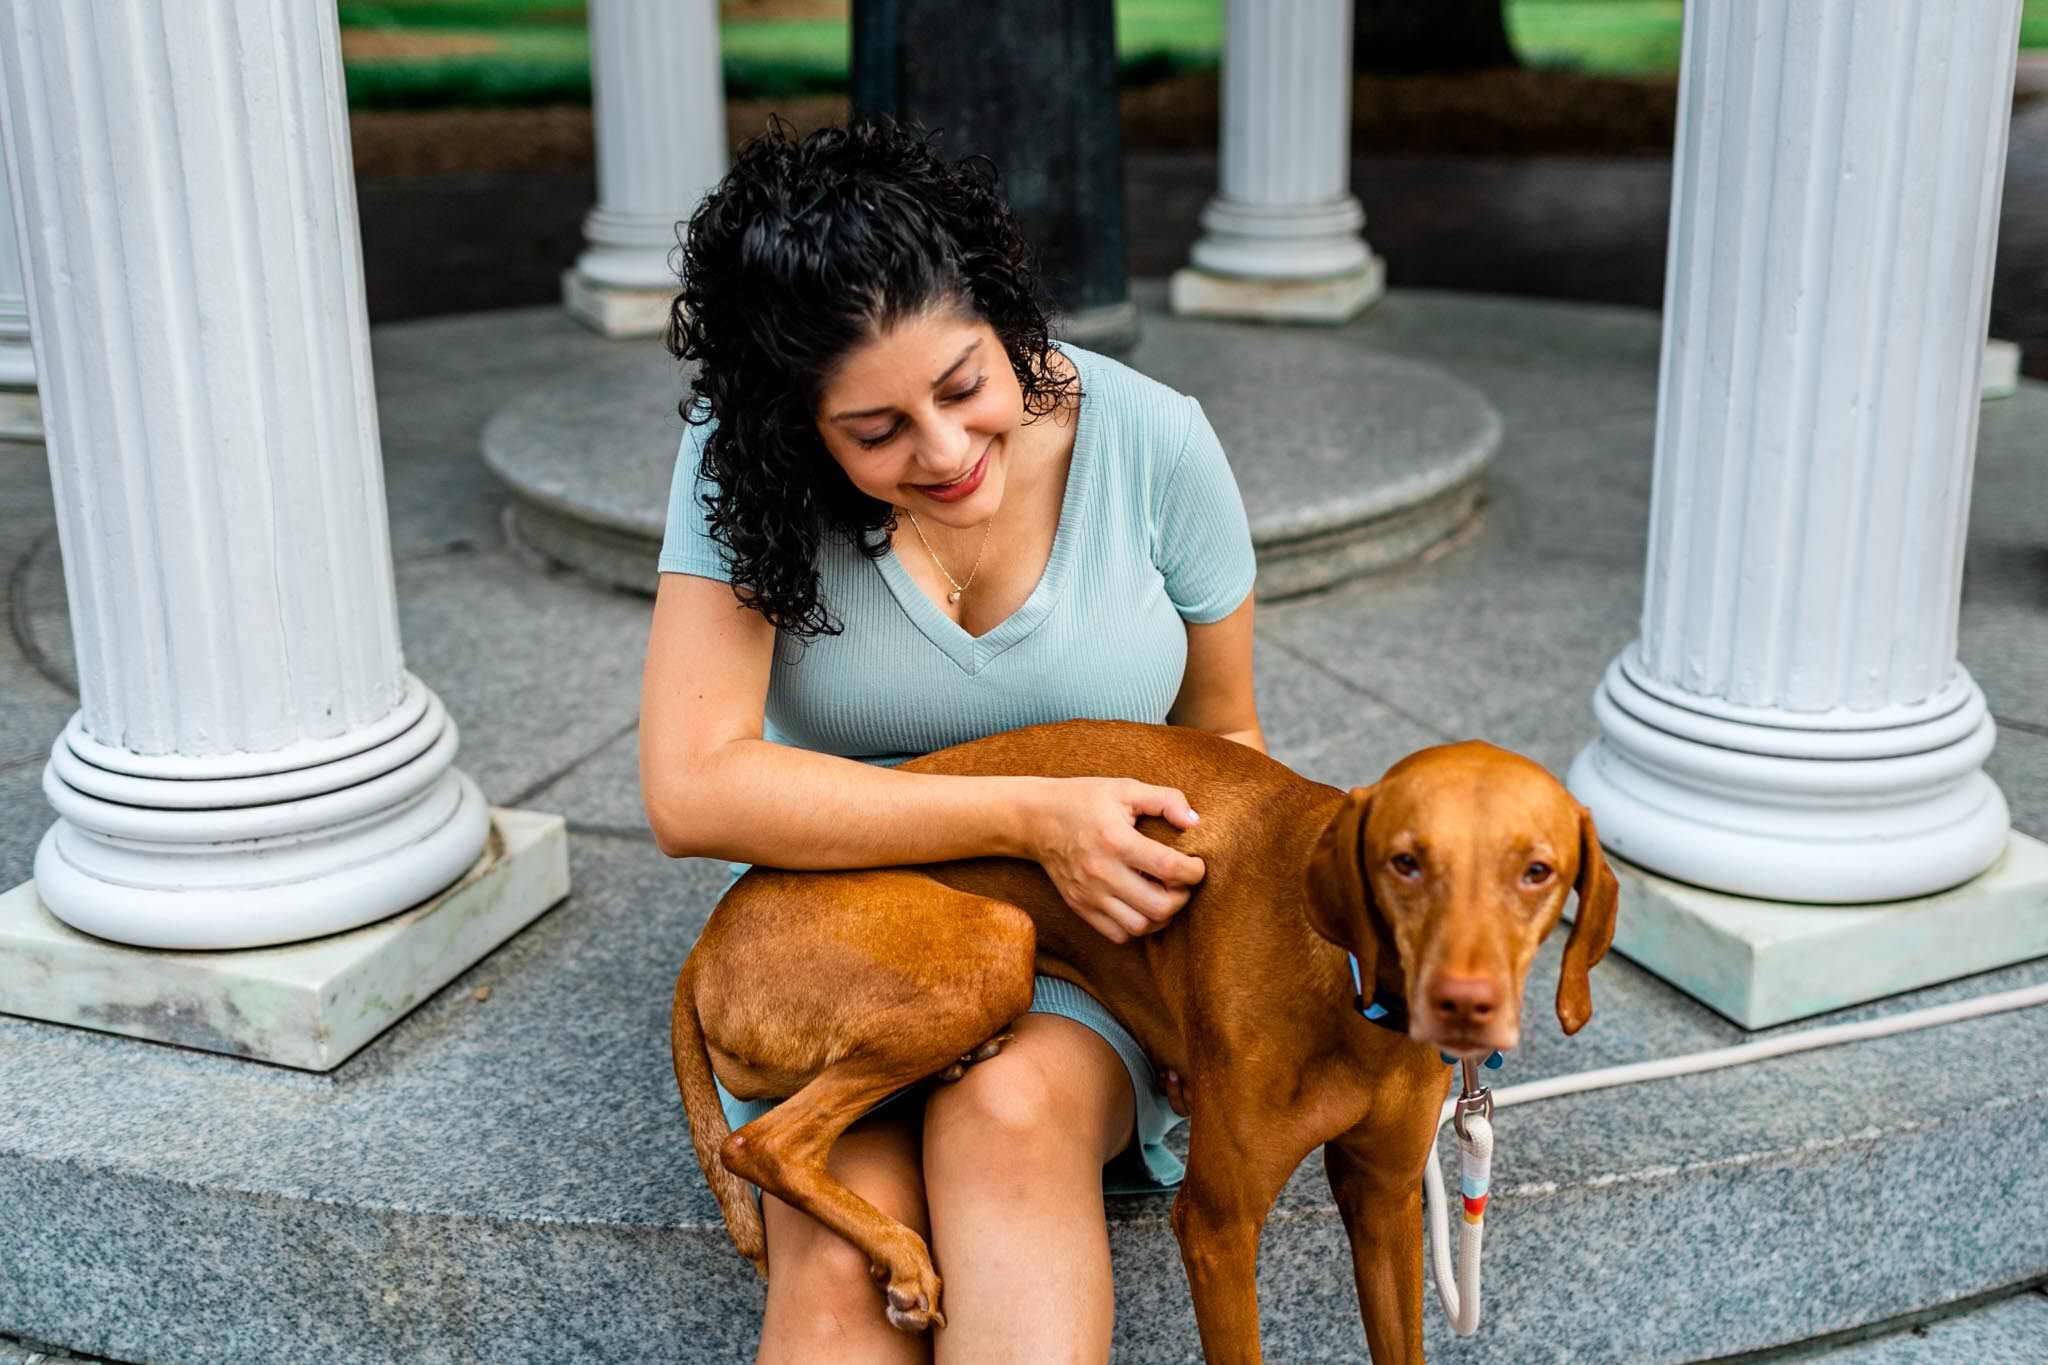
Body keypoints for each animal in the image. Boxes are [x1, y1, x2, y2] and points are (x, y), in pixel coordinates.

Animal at [671, 720, 1613, 1358]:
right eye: (1405, 862)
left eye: (1538, 871)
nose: (1465, 1004)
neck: (1350, 998)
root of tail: (704, 943)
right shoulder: (1218, 1224)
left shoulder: (1383, 1205)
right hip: (997, 942)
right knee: (767, 1141)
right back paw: (901, 1252)